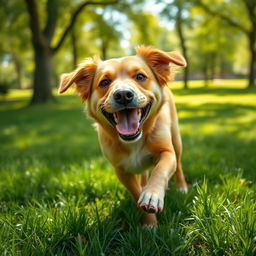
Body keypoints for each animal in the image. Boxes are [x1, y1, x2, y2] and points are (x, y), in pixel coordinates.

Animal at [58, 46, 188, 226]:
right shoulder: (121, 170)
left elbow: (160, 170)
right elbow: (135, 192)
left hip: (176, 139)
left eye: (140, 76)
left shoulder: (167, 152)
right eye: (104, 82)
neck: (134, 140)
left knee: (179, 163)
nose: (123, 94)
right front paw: (149, 223)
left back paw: (181, 187)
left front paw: (152, 195)